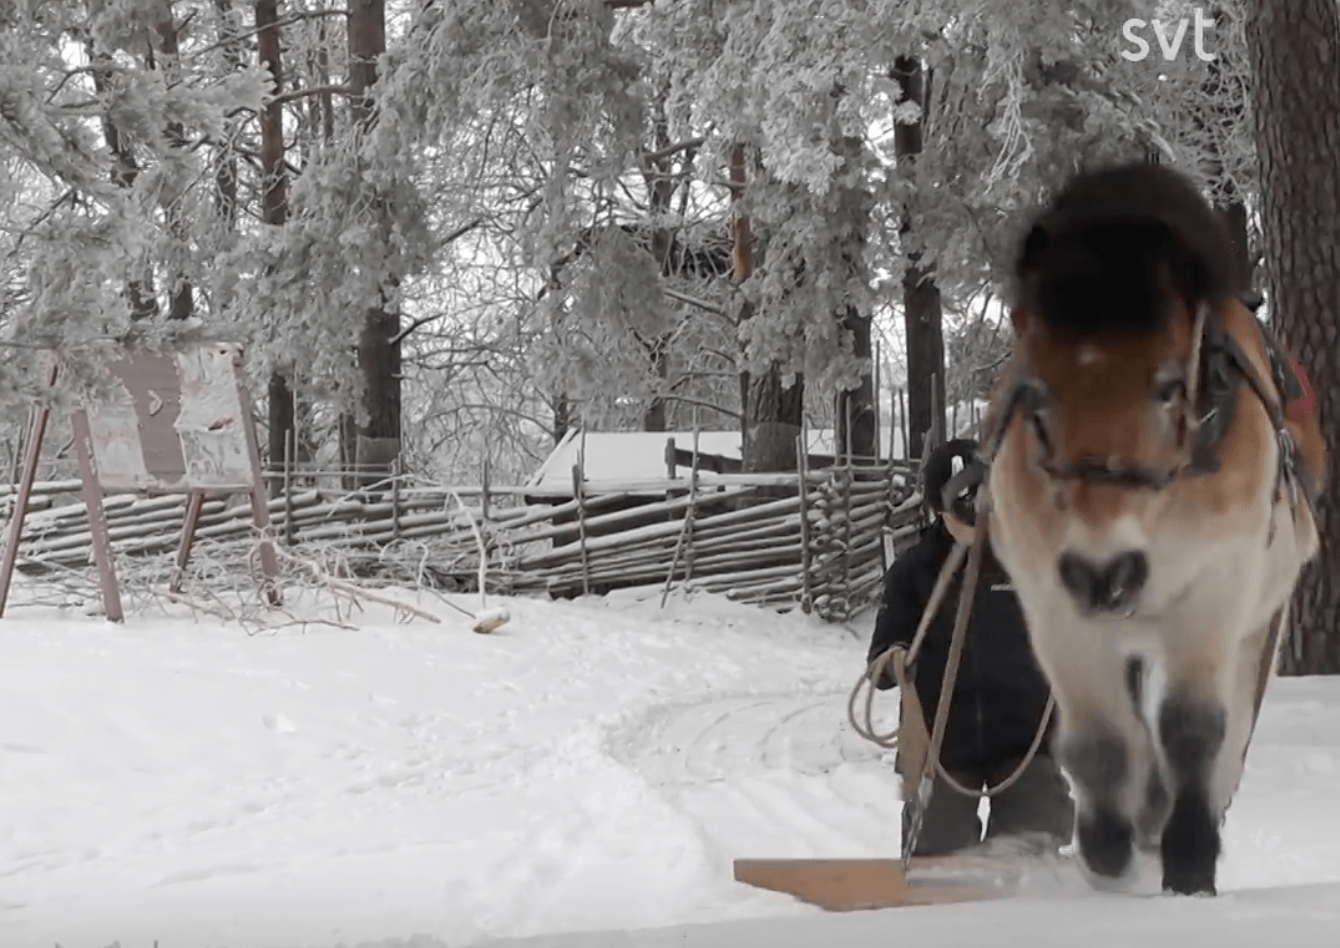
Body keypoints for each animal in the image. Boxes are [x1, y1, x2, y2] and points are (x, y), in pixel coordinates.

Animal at [979, 162, 1326, 897]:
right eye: (1038, 393)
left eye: (1168, 386)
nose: (1104, 571)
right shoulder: (1053, 601)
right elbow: (1100, 742)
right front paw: (1111, 848)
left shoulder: (1217, 589)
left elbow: (1194, 729)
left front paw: (1189, 860)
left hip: (1256, 625)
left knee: (1227, 733)